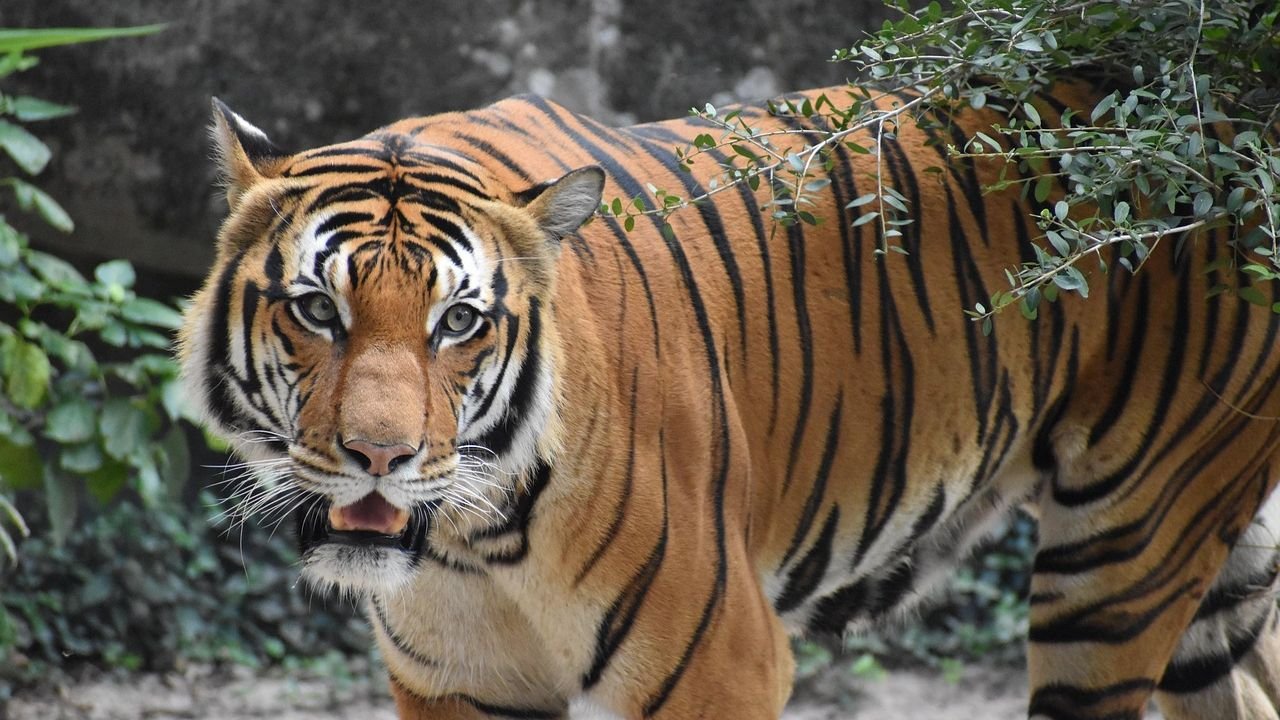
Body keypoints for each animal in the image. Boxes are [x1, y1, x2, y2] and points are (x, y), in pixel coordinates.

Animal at [177, 78, 1280, 720]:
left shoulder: (717, 665)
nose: (380, 459)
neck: (472, 544)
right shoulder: (454, 684)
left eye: (458, 322)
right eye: (316, 308)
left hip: (1124, 553)